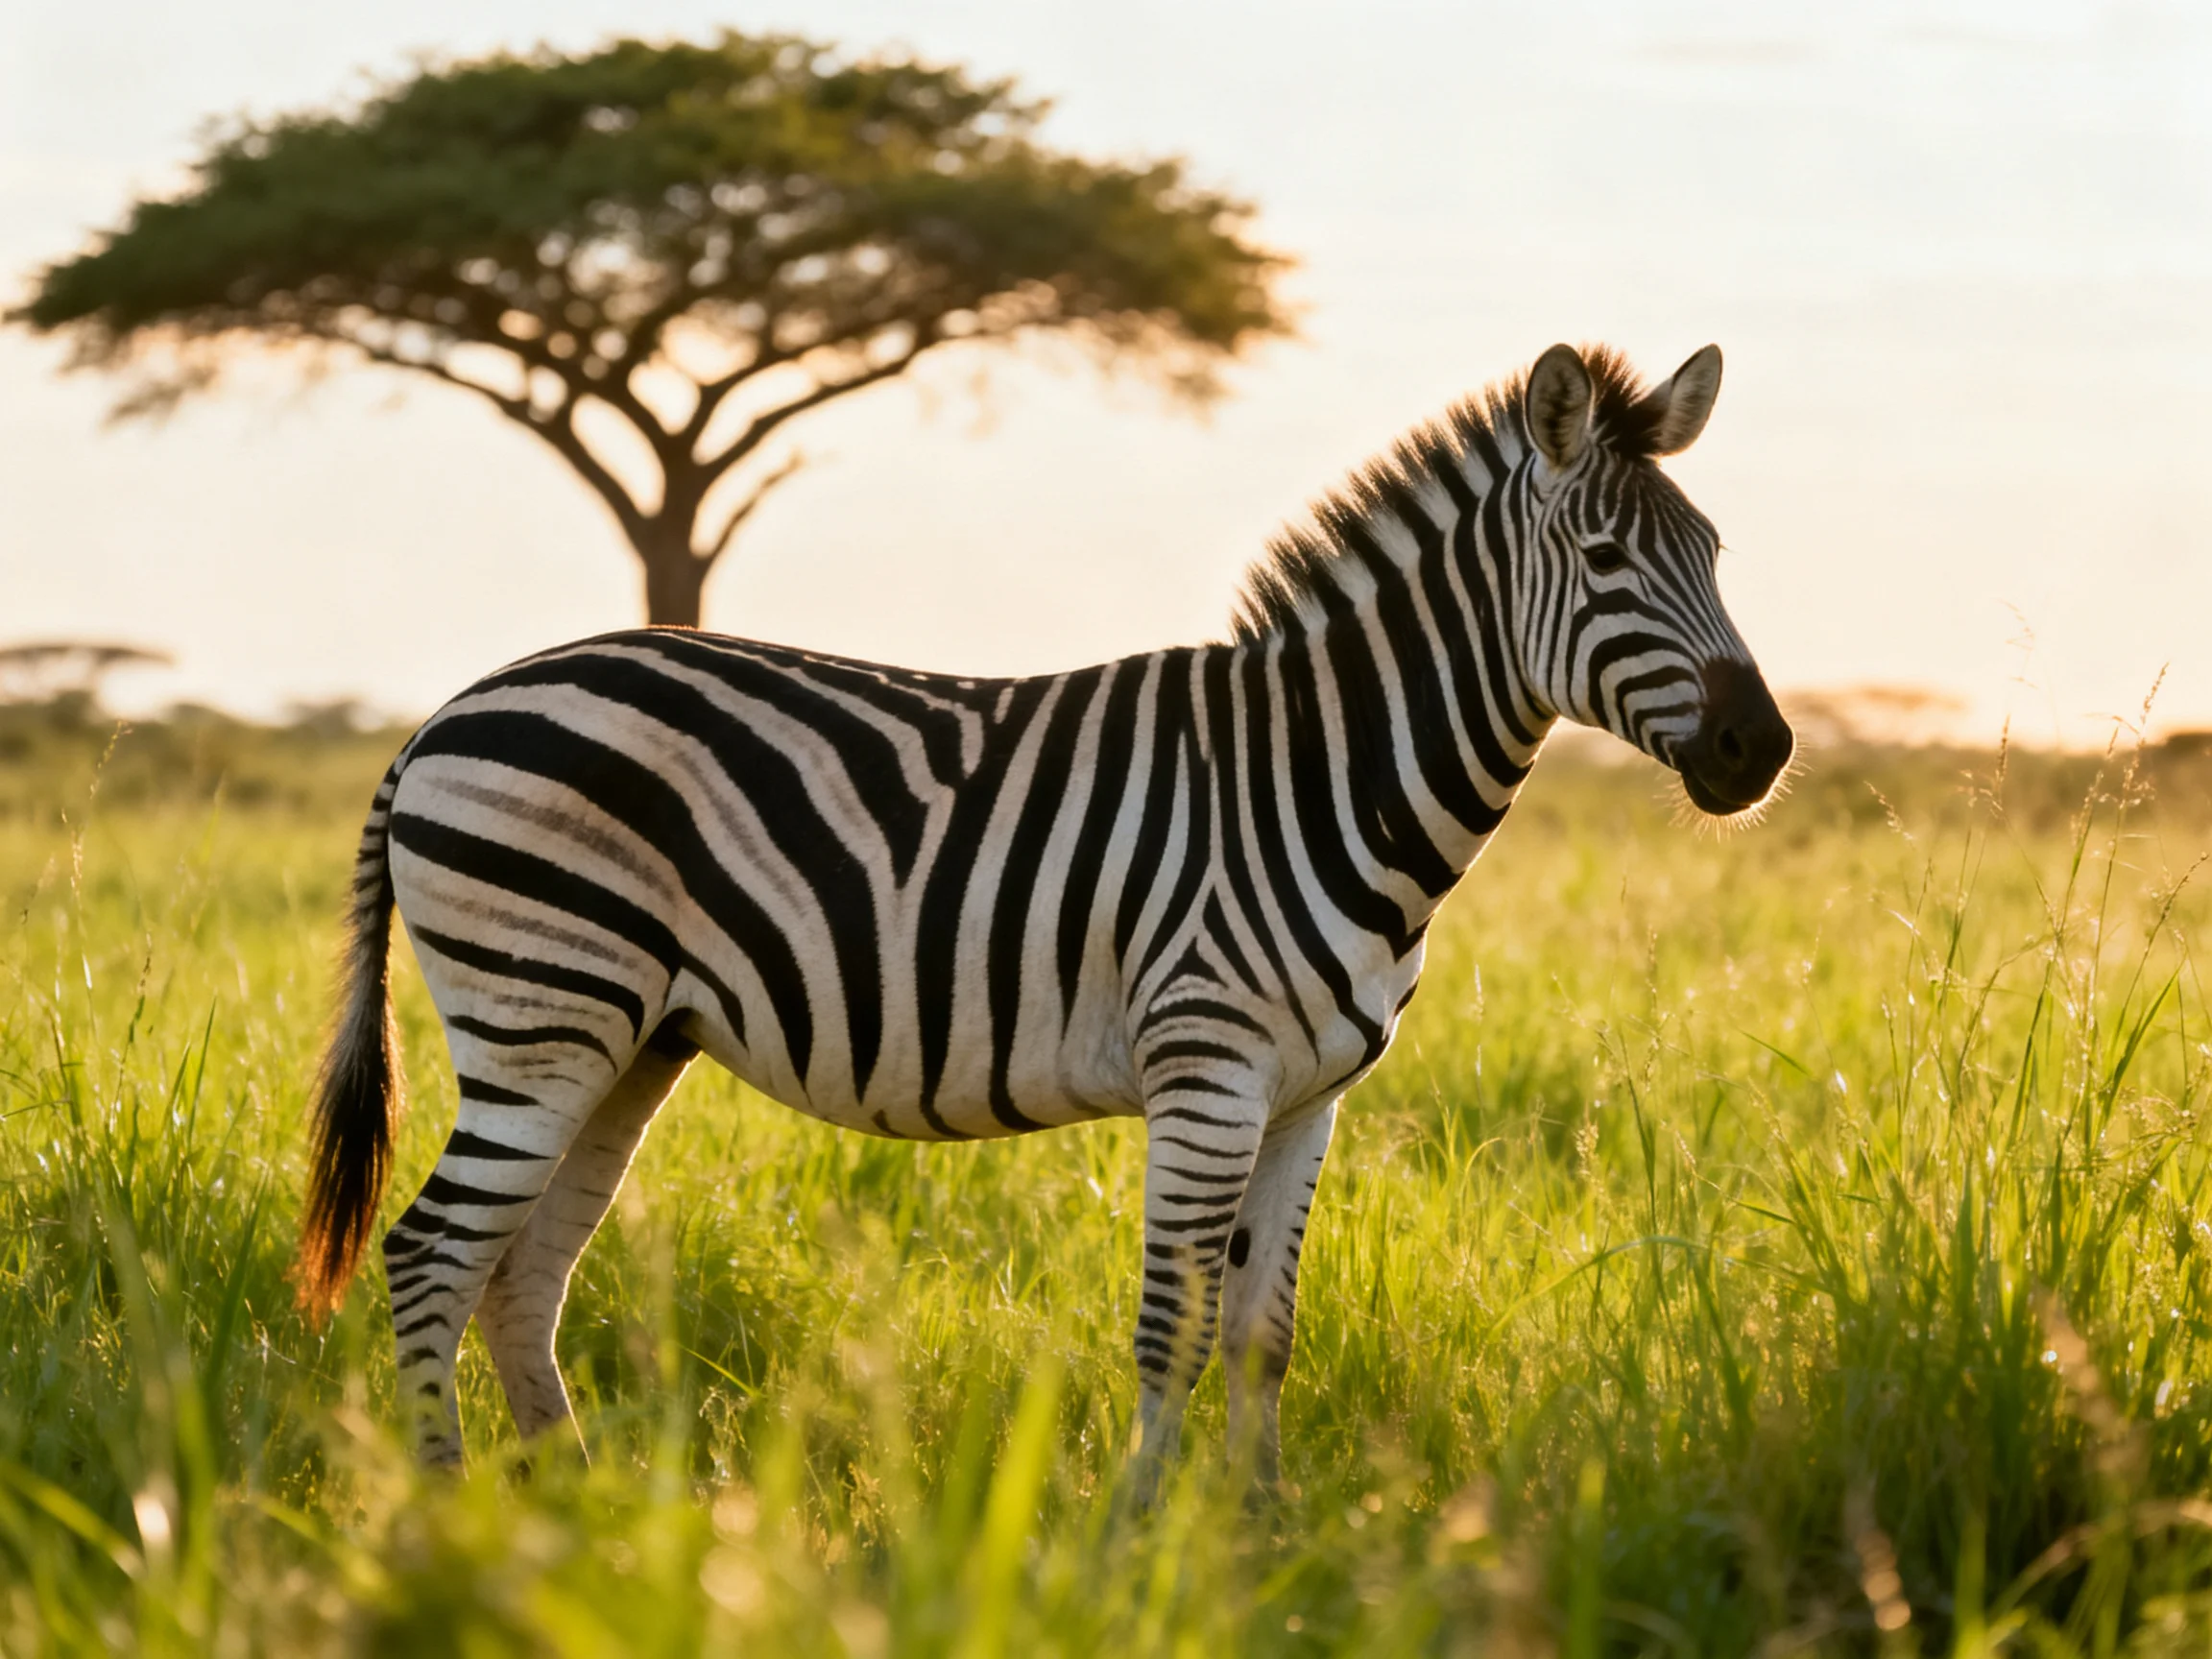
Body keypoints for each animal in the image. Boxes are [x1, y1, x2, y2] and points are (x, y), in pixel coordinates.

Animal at [295, 341, 1793, 1486]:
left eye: (1719, 552)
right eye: (1603, 557)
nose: (1762, 750)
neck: (1320, 777)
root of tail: (441, 717)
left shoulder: (1311, 1098)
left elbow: (1263, 1336)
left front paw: (1262, 1541)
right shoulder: (1207, 1073)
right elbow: (1170, 1329)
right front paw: (1142, 1544)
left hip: (625, 1042)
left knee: (520, 1274)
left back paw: (576, 1527)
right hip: (539, 1017)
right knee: (431, 1258)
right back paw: (456, 1524)